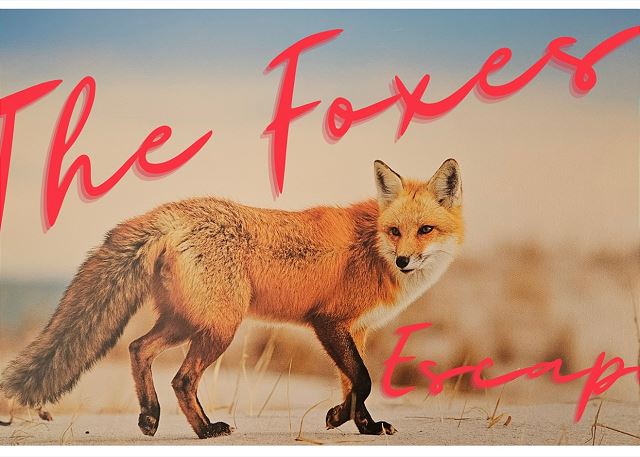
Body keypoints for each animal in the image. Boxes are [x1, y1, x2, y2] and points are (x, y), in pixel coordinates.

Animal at [0, 159, 463, 439]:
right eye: (394, 231)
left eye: (425, 230)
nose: (404, 260)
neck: (371, 245)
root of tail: (172, 212)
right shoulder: (329, 323)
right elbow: (363, 381)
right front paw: (343, 419)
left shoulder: (357, 331)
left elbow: (353, 384)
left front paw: (358, 424)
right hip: (219, 327)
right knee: (181, 379)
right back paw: (205, 430)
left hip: (185, 322)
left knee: (137, 348)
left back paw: (150, 416)